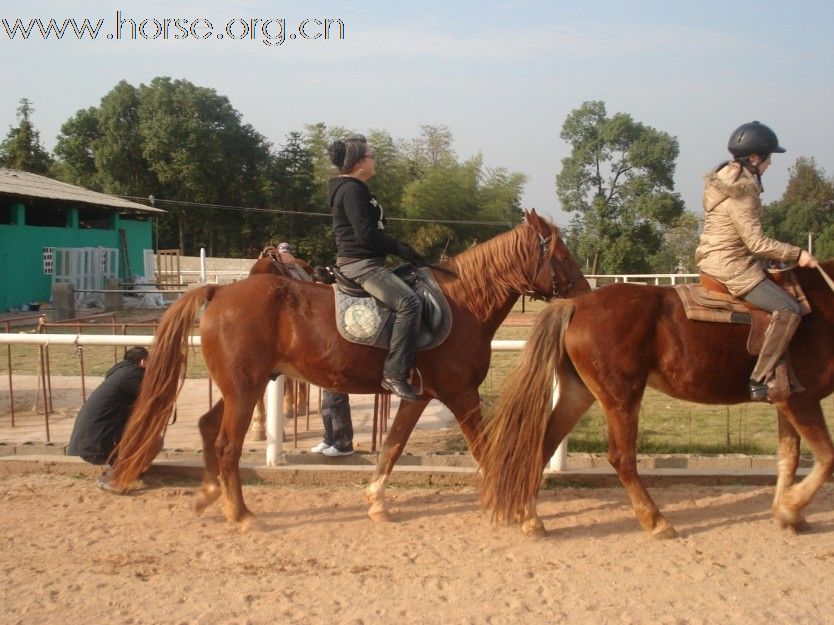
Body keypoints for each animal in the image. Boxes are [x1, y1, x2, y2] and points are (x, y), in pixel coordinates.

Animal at [112, 210, 592, 528]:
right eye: (561, 252)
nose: (586, 293)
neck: (461, 304)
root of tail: (218, 291)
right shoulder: (460, 394)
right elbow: (486, 450)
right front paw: (523, 514)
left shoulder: (420, 396)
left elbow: (393, 447)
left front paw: (376, 501)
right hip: (244, 390)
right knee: (228, 444)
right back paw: (242, 514)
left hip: (238, 389)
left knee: (209, 428)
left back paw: (211, 496)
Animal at [478, 264, 832, 536]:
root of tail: (577, 305)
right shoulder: (803, 401)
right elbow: (827, 459)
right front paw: (790, 510)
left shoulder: (785, 403)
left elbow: (789, 457)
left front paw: (789, 514)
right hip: (622, 397)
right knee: (622, 458)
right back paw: (657, 522)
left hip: (579, 393)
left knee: (544, 444)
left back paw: (530, 517)